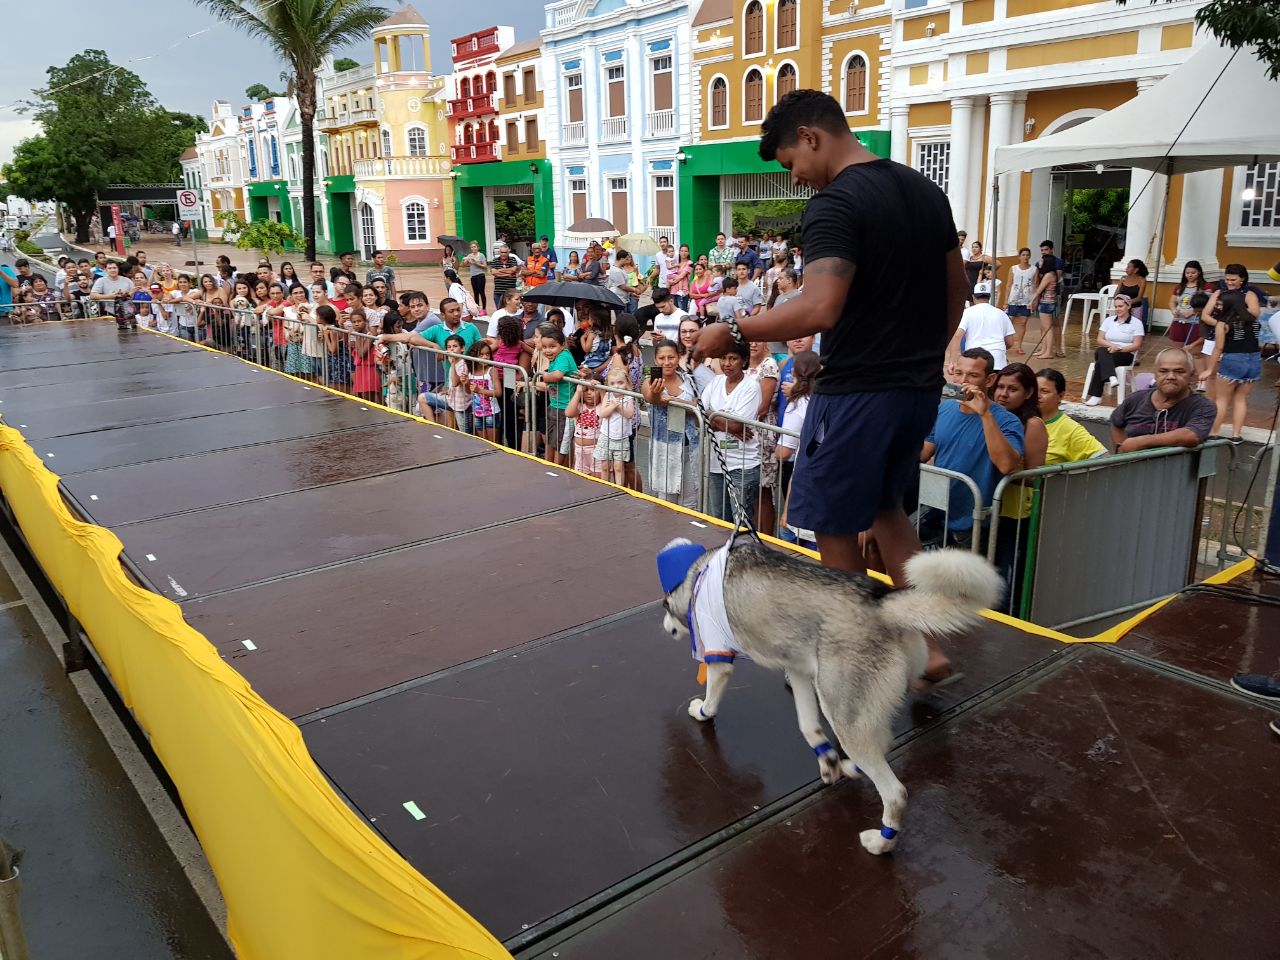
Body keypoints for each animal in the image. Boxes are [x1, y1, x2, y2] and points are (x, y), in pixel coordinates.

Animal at [658, 538, 1001, 855]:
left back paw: (882, 842)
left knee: (895, 792)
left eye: (663, 605)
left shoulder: (719, 658)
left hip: (844, 715)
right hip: (850, 707)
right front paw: (828, 760)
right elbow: (808, 727)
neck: (697, 572)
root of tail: (881, 604)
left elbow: (712, 696)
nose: (664, 626)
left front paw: (702, 711)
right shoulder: (798, 672)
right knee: (884, 741)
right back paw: (849, 769)